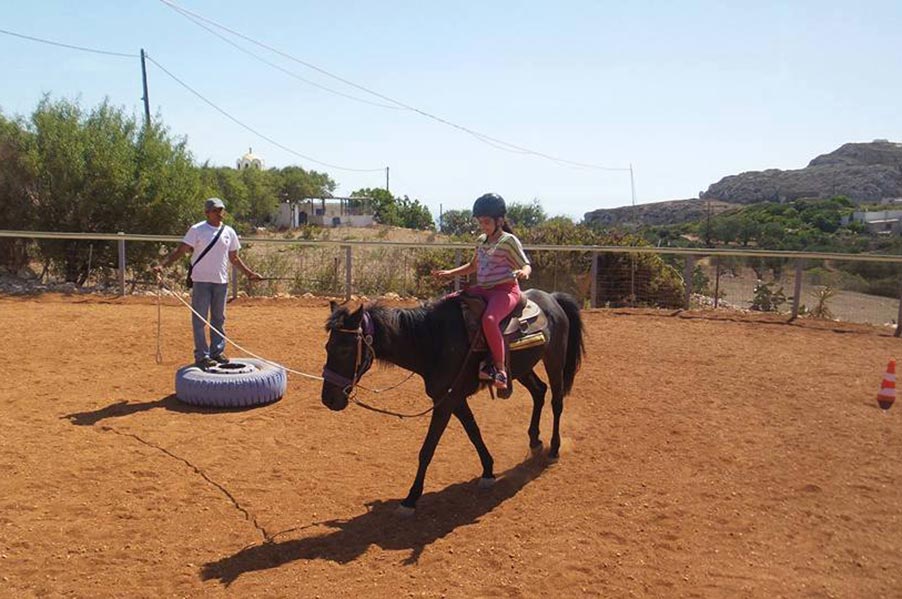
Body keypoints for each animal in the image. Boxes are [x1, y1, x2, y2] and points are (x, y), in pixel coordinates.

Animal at [324, 290, 588, 510]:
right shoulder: (454, 399)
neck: (432, 340)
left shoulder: (445, 403)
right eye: (327, 347)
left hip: (554, 359)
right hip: (523, 368)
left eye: (345, 349)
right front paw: (488, 471)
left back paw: (554, 448)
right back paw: (534, 440)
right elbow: (473, 432)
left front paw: (411, 497)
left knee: (556, 401)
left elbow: (427, 449)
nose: (328, 399)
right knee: (539, 391)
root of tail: (552, 298)